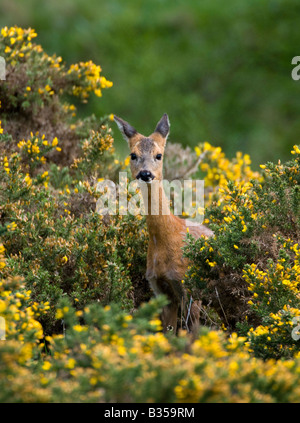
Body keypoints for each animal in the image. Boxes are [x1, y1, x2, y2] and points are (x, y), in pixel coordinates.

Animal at [113, 114, 213, 336]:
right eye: (133, 155)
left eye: (159, 155)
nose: (145, 173)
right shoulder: (159, 288)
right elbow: (168, 333)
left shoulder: (190, 286)